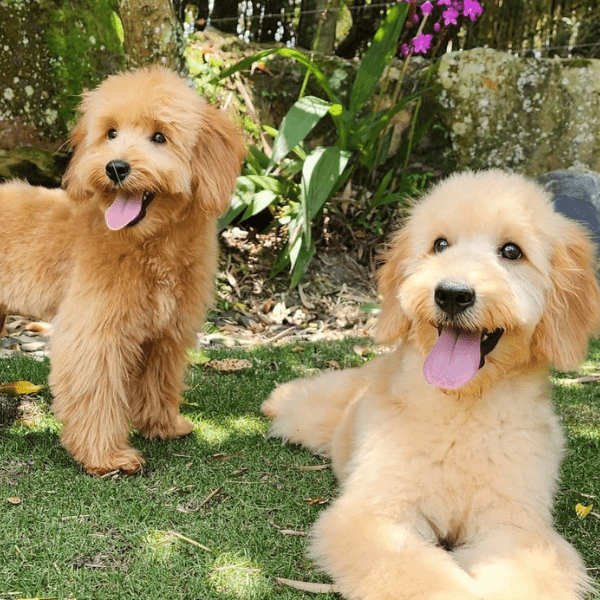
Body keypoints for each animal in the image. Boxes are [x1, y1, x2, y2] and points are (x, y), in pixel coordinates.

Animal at [0, 67, 244, 474]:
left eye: (159, 136)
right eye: (110, 133)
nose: (115, 167)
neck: (151, 246)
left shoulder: (165, 332)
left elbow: (158, 380)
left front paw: (162, 425)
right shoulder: (95, 334)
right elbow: (97, 393)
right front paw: (106, 456)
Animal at [262, 171, 600, 600]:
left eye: (512, 251)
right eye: (440, 244)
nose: (452, 294)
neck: (460, 410)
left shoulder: (516, 527)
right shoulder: (377, 515)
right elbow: (418, 575)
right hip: (322, 408)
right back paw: (278, 398)